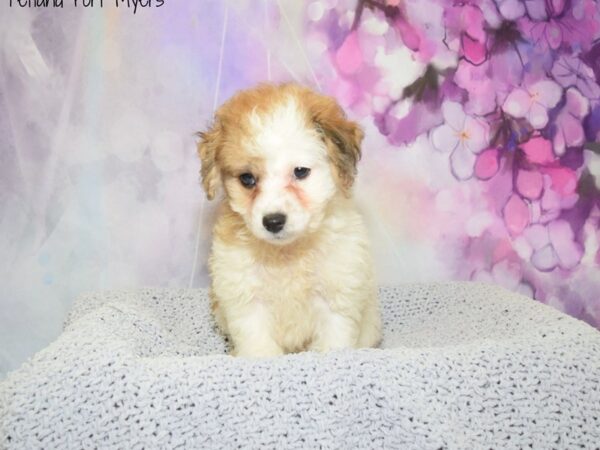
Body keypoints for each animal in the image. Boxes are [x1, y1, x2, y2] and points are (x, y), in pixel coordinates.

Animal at [199, 82, 382, 356]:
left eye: (300, 172)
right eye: (247, 179)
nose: (273, 221)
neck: (288, 254)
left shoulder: (336, 298)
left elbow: (333, 342)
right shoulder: (247, 300)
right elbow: (258, 345)